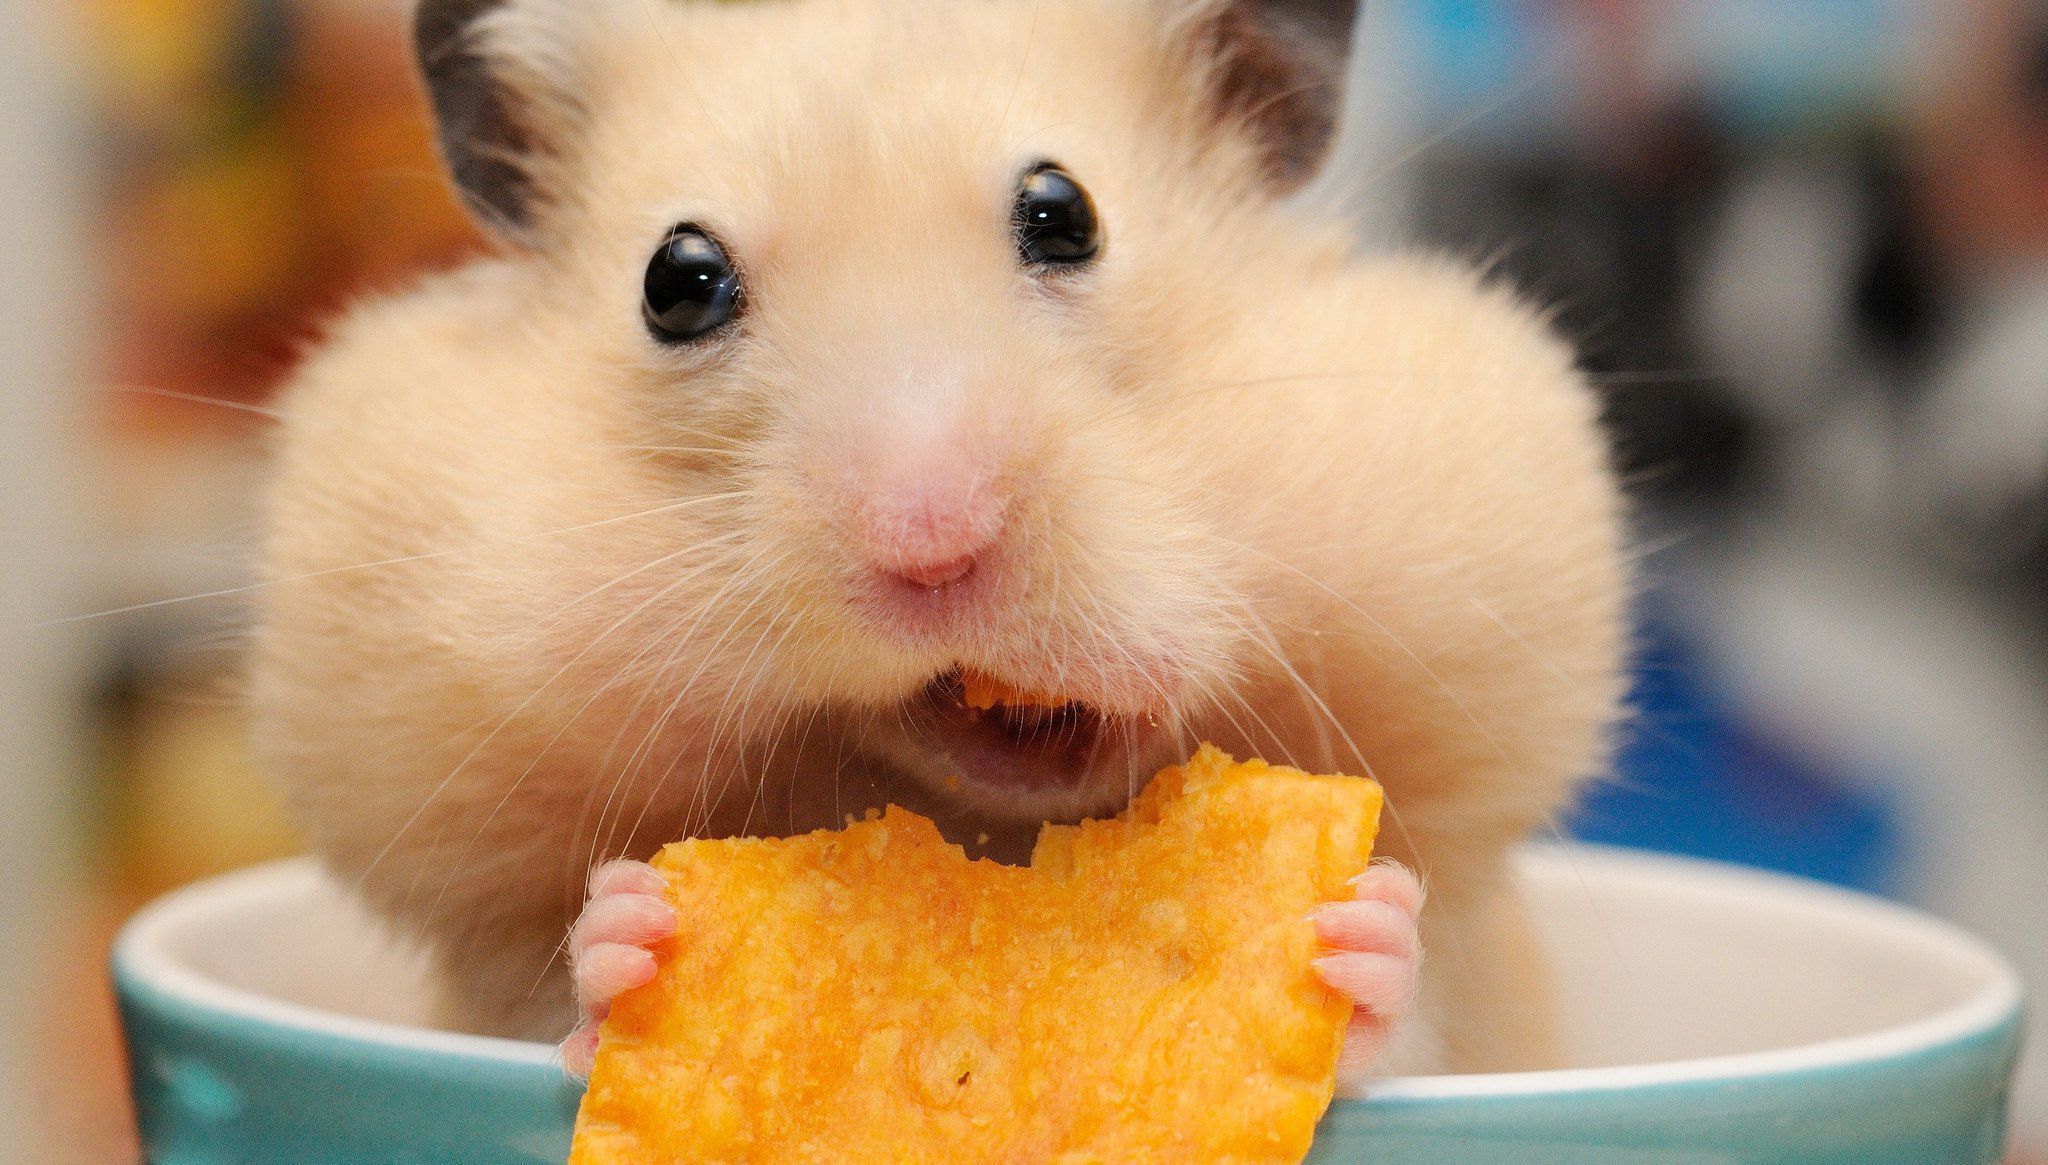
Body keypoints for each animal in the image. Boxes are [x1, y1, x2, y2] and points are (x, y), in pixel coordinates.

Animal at [249, 0, 1627, 1080]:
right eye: (676, 281)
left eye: (1062, 214)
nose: (928, 541)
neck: (997, 828)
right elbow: (545, 1000)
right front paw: (630, 941)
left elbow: (1414, 1017)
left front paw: (1352, 935)